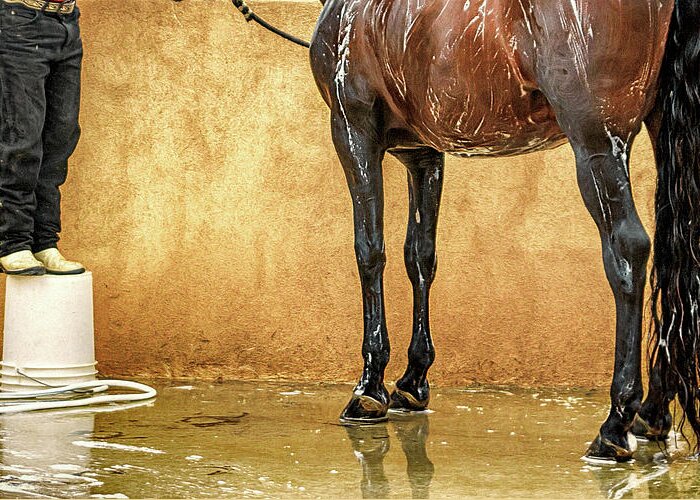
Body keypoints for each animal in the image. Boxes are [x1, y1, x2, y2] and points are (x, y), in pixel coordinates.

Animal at [308, 0, 700, 460]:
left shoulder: (352, 131)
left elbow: (370, 252)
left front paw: (369, 390)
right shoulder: (422, 153)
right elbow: (419, 256)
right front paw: (412, 383)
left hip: (598, 141)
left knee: (628, 249)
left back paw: (615, 425)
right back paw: (652, 414)